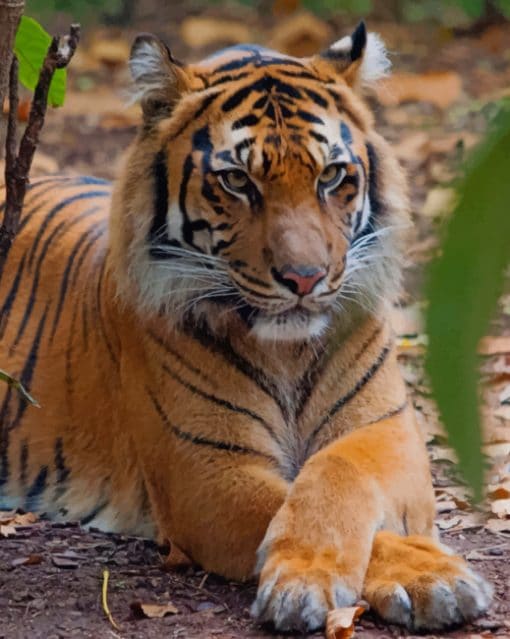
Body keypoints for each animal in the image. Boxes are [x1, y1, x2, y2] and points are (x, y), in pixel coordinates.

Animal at [0, 21, 492, 636]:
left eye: (332, 175)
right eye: (236, 181)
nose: (304, 278)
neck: (288, 352)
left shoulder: (389, 432)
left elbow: (338, 471)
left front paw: (429, 576)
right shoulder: (205, 468)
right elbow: (292, 505)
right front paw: (327, 578)